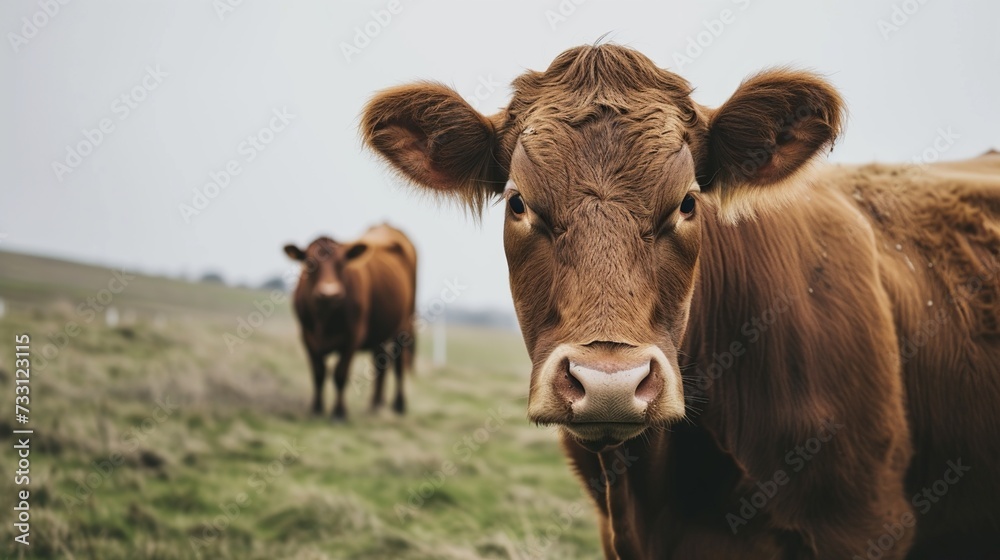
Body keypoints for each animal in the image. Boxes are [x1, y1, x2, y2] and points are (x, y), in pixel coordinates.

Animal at [284, 223, 416, 420]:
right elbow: (318, 373)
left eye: (342, 264)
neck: (325, 318)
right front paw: (317, 408)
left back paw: (399, 405)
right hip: (379, 332)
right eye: (309, 263)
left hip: (403, 326)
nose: (329, 293)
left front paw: (339, 413)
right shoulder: (307, 336)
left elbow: (340, 375)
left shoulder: (352, 338)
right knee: (381, 364)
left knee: (399, 365)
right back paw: (375, 404)